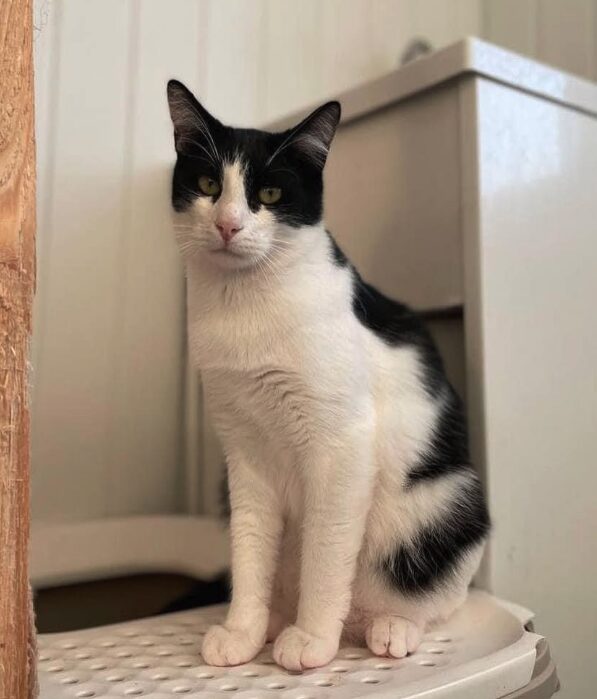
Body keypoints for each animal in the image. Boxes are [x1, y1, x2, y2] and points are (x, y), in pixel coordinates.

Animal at [166, 78, 488, 672]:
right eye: (206, 184)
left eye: (270, 194)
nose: (227, 224)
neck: (246, 303)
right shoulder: (243, 452)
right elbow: (250, 547)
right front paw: (243, 631)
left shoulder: (343, 444)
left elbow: (327, 546)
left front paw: (313, 639)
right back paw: (276, 620)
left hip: (450, 502)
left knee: (431, 596)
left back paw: (389, 626)